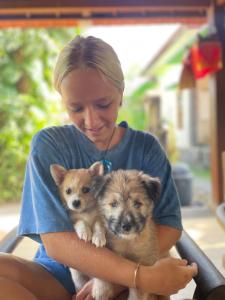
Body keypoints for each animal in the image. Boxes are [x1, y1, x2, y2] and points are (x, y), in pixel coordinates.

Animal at [49, 162, 106, 292]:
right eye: (68, 191)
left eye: (86, 190)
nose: (75, 202)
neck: (85, 212)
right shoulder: (73, 220)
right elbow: (81, 222)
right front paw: (85, 232)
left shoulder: (99, 218)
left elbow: (98, 226)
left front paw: (98, 237)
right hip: (78, 278)